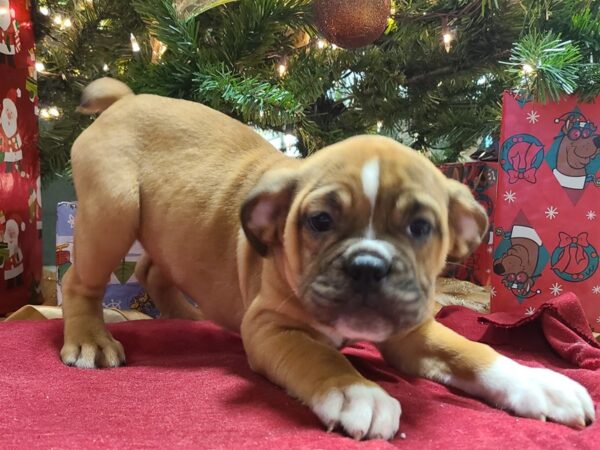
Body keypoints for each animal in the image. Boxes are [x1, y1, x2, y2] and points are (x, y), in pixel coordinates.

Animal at [61, 77, 596, 440]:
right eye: (320, 221)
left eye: (420, 228)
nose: (368, 266)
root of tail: (127, 99)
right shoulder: (273, 328)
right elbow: (319, 355)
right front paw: (357, 392)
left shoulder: (414, 333)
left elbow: (474, 352)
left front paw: (539, 383)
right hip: (113, 210)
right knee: (78, 282)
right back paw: (90, 339)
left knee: (153, 268)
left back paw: (188, 315)